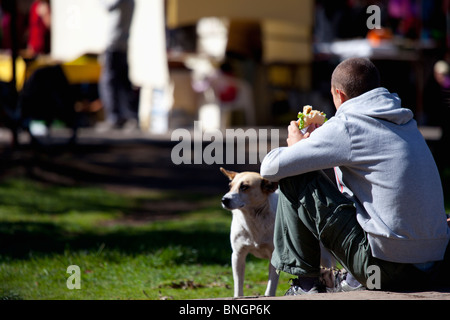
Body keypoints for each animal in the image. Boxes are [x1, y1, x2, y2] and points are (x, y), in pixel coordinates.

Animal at [220, 168, 336, 298]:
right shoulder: (238, 255)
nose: (224, 200)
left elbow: (271, 285)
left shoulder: (274, 256)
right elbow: (238, 284)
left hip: (324, 255)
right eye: (230, 186)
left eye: (244, 187)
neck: (254, 219)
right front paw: (238, 296)